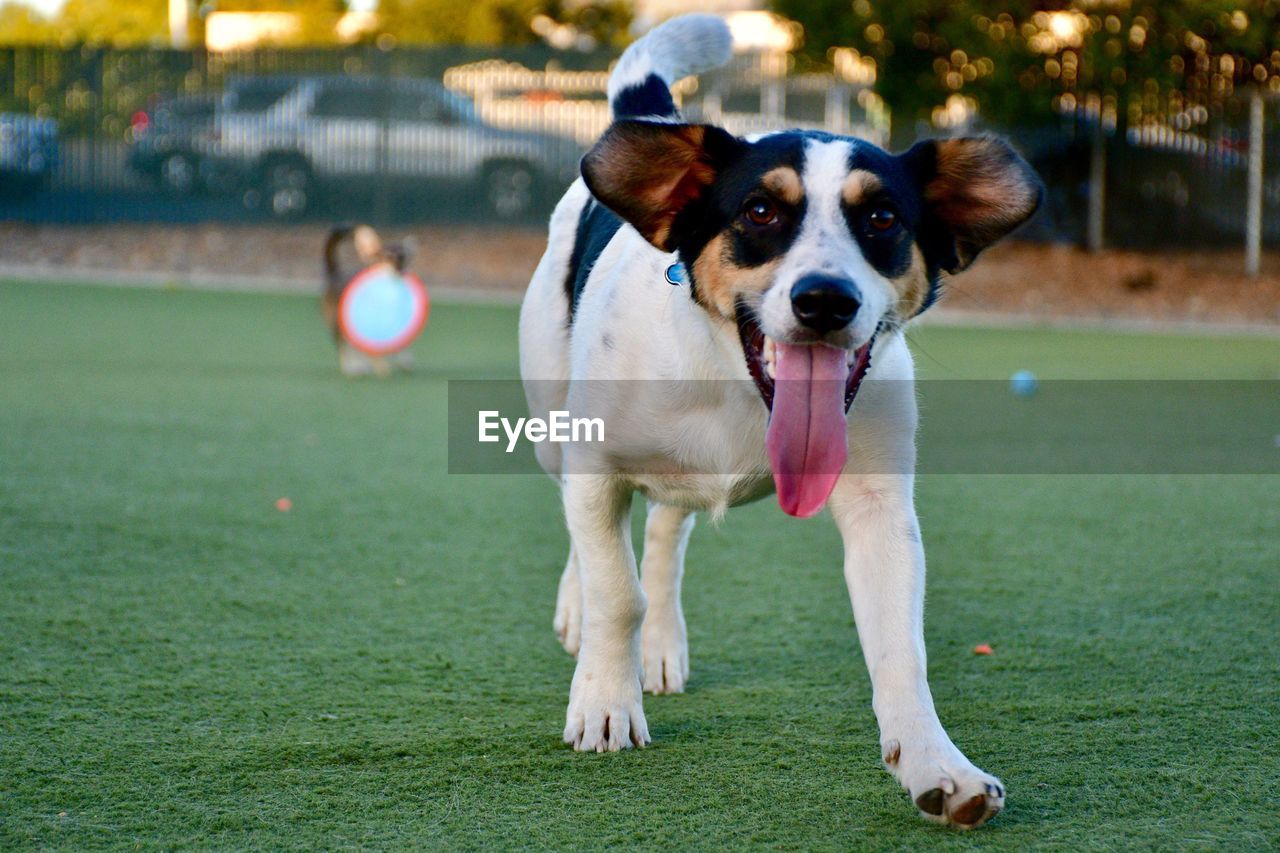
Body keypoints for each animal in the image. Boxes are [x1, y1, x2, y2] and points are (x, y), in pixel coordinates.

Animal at [517, 11, 1039, 824]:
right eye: (760, 211)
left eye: (882, 217)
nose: (825, 299)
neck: (731, 380)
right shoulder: (597, 466)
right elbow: (615, 589)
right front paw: (604, 701)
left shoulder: (879, 506)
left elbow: (901, 648)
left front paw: (937, 764)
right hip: (551, 417)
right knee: (589, 530)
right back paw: (584, 615)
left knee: (666, 531)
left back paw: (660, 646)